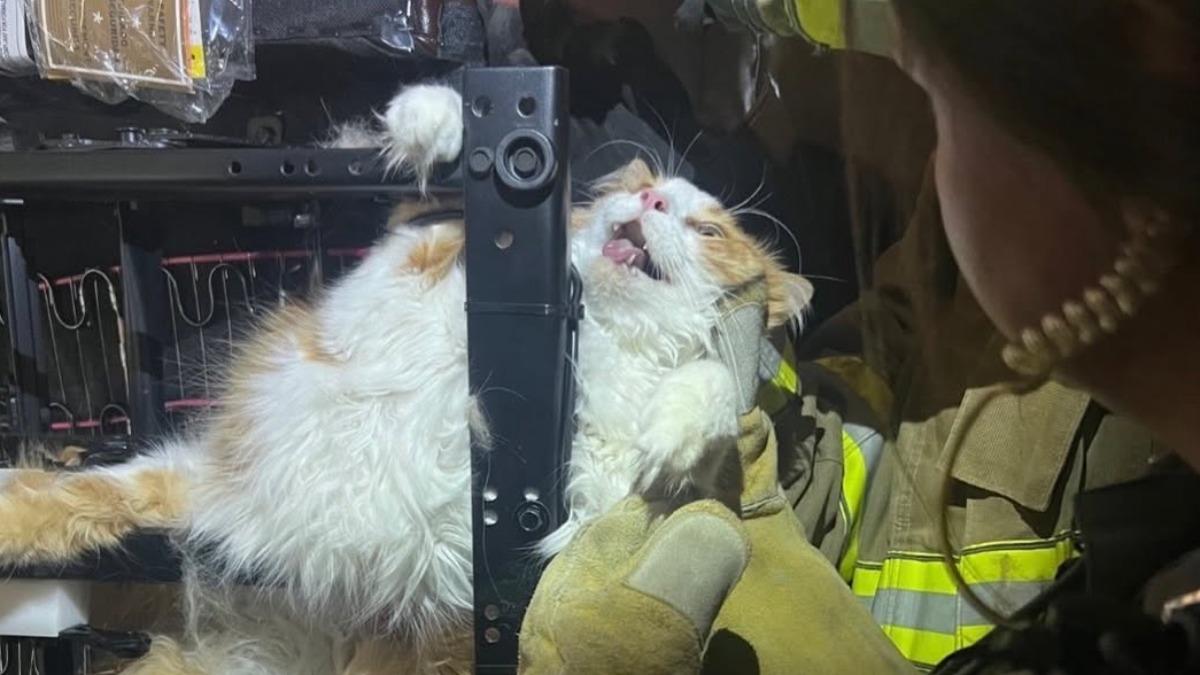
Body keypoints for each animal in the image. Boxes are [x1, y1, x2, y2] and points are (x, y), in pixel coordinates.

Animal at [0, 82, 812, 674]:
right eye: (646, 195)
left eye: (708, 230)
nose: (648, 200)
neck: (595, 330)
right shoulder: (410, 255)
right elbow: (434, 194)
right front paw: (444, 120)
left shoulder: (598, 500)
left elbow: (707, 390)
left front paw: (675, 434)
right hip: (195, 483)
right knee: (72, 494)